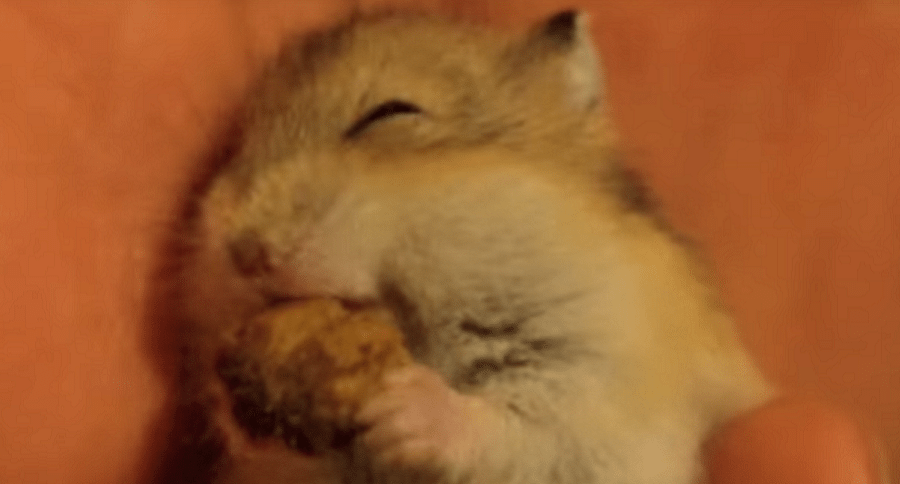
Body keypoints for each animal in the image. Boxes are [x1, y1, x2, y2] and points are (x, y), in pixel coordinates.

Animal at [161, 9, 775, 484]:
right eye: (236, 145)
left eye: (390, 112)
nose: (245, 252)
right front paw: (240, 396)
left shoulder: (598, 389)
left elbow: (521, 429)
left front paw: (402, 404)